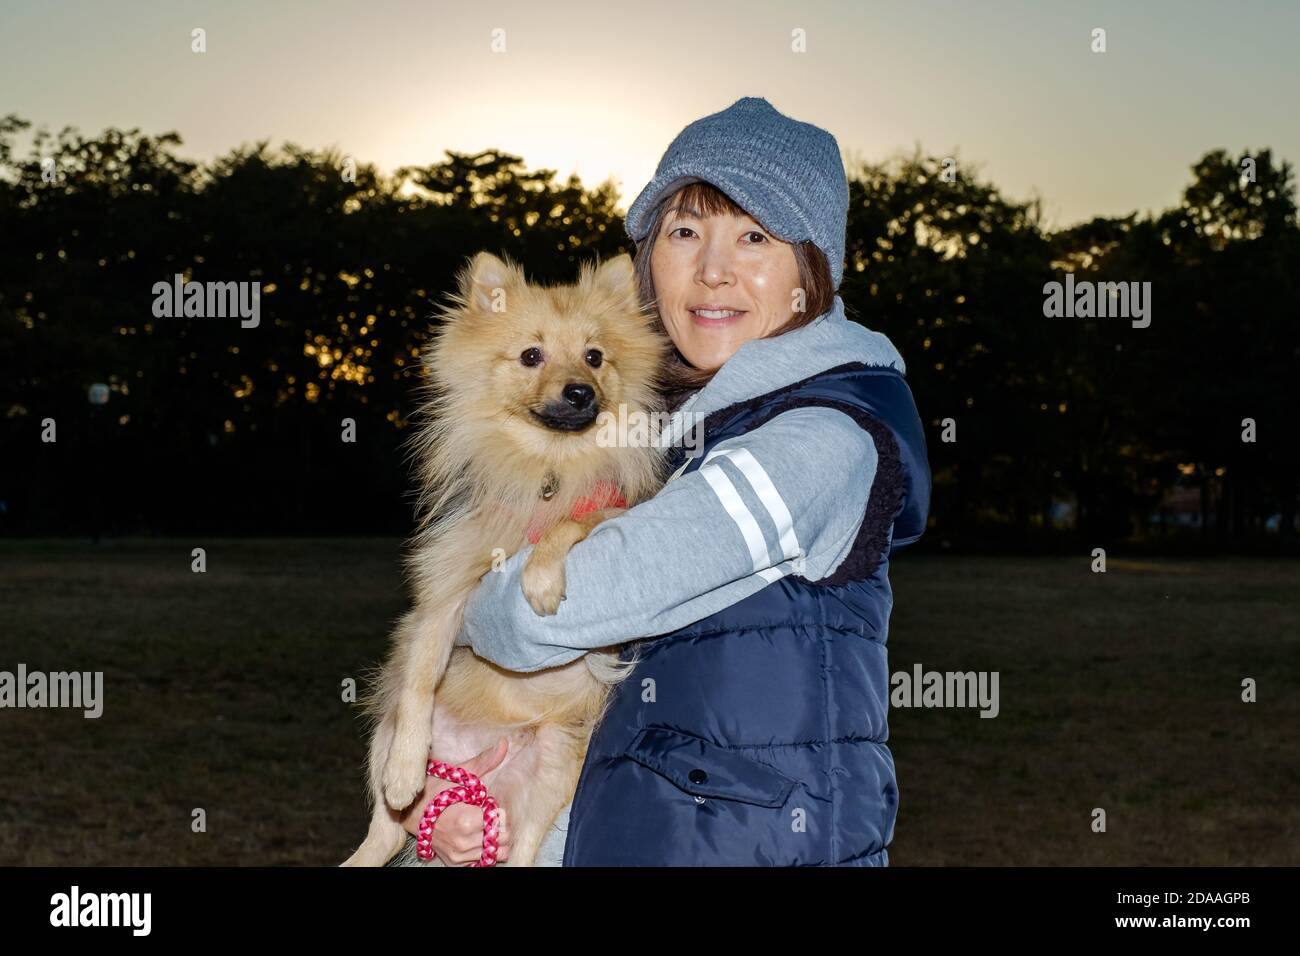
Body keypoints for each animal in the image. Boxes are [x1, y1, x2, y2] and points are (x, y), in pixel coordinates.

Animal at [343, 252, 670, 868]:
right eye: (530, 355)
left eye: (594, 357)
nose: (580, 392)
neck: (548, 465)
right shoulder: (447, 591)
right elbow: (420, 674)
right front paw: (405, 770)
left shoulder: (612, 510)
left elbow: (572, 523)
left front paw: (540, 577)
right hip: (384, 727)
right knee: (387, 831)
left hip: (554, 763)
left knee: (520, 850)